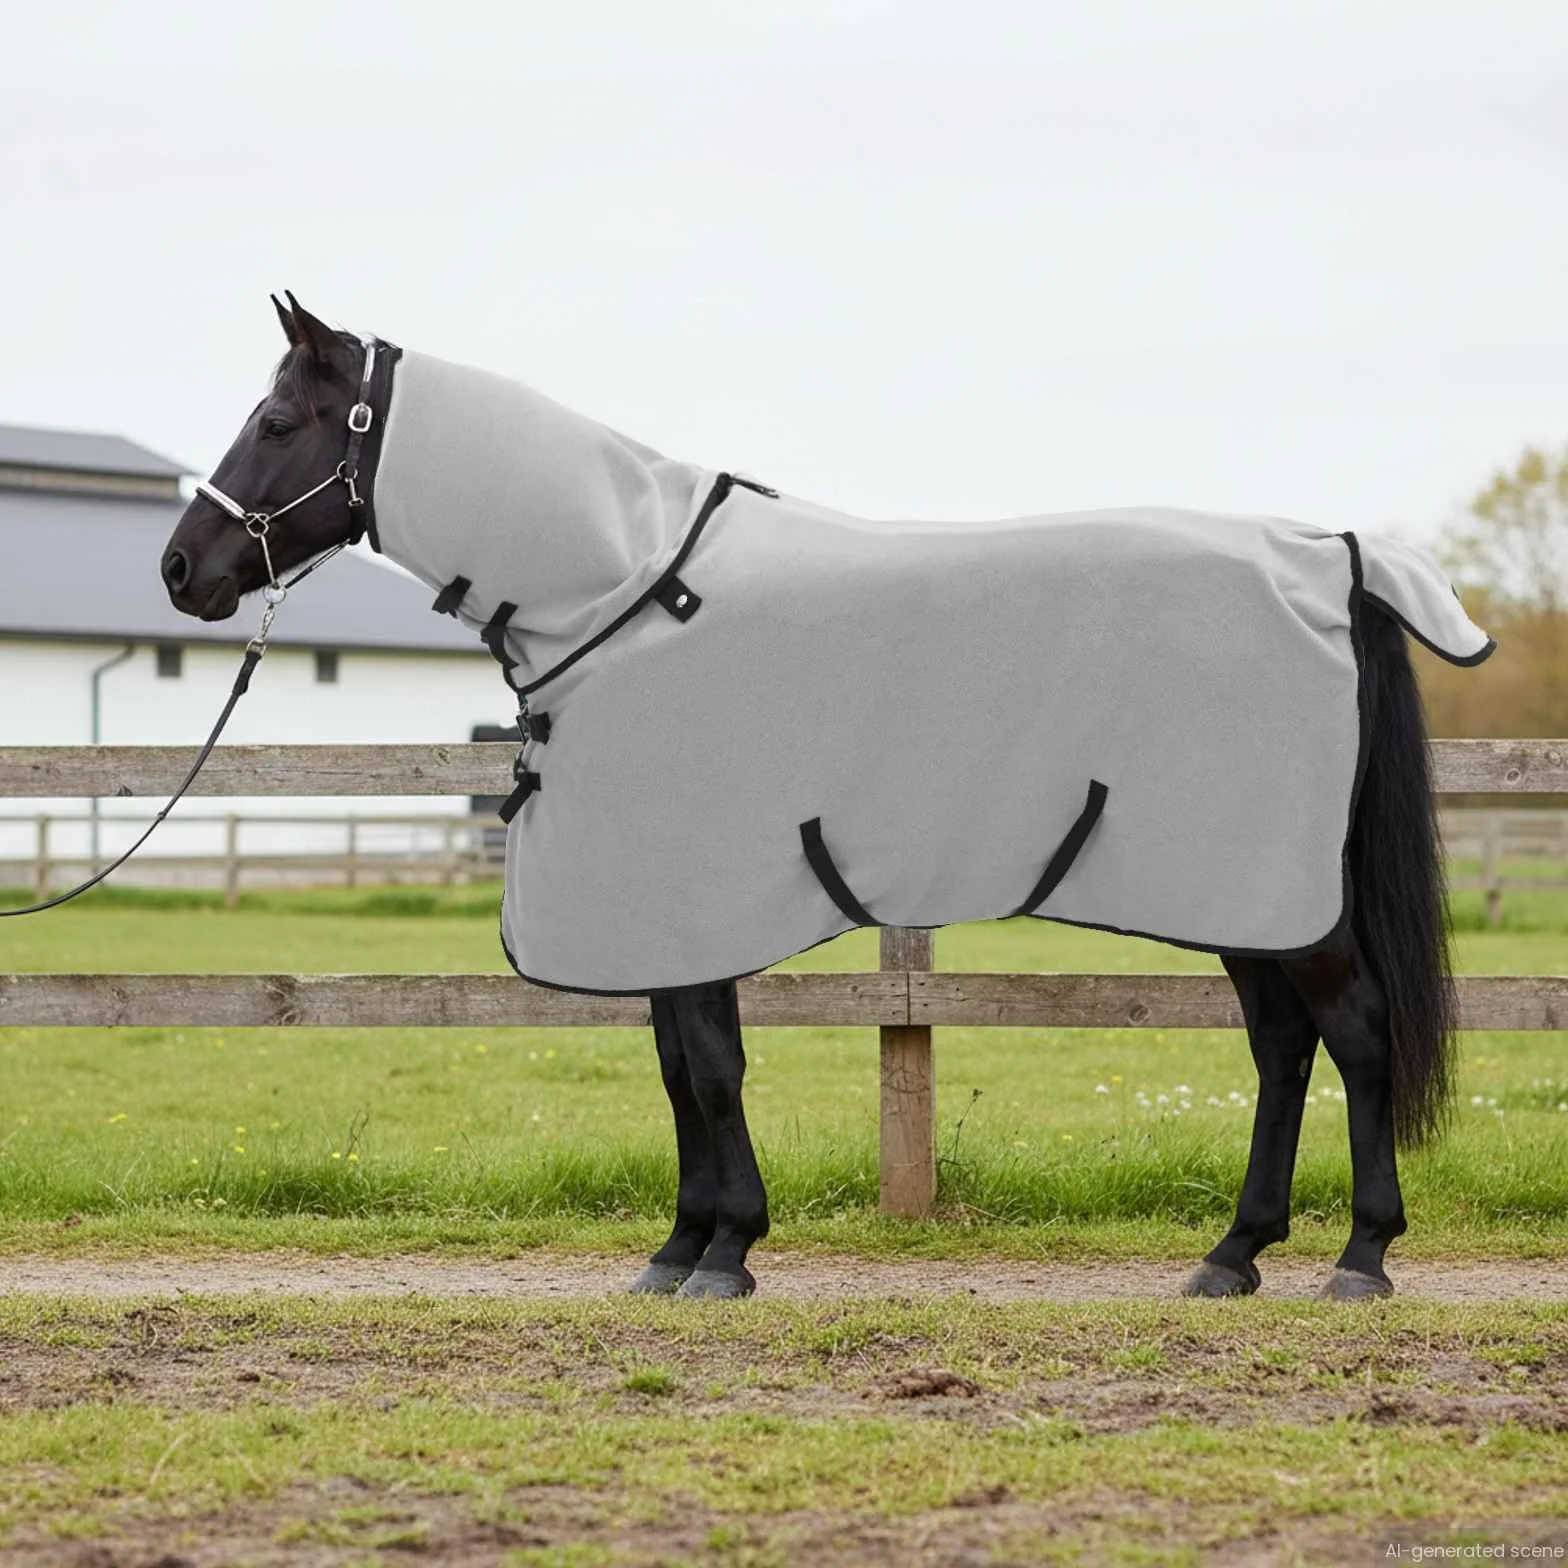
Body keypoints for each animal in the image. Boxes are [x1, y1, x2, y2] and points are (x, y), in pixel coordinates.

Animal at [161, 294, 1479, 1302]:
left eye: (276, 419)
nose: (182, 569)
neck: (628, 590)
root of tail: (1333, 560)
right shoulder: (660, 914)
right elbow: (679, 1069)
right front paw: (679, 1247)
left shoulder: (694, 898)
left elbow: (710, 1068)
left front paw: (725, 1251)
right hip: (1242, 898)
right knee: (1281, 1047)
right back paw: (1232, 1252)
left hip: (1275, 897)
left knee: (1355, 1035)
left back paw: (1358, 1256)